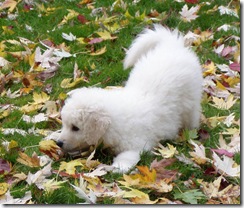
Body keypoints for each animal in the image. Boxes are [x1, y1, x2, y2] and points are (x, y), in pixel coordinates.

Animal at [56, 24, 202, 172]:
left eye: (75, 128)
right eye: (65, 124)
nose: (58, 143)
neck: (114, 123)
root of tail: (171, 45)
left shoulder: (136, 145)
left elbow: (126, 158)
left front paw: (115, 168)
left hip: (191, 99)